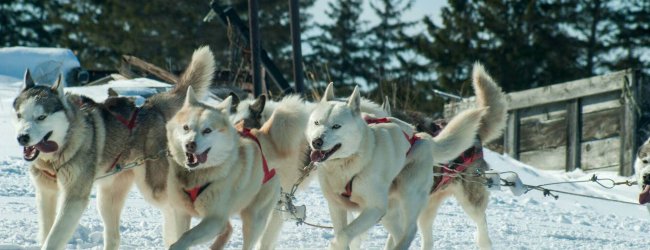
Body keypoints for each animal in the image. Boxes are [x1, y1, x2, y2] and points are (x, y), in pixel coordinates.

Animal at [12, 46, 215, 248]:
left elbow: (54, 237)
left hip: (153, 187)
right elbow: (46, 232)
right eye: (20, 115)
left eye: (41, 117)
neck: (58, 151)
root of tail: (151, 106)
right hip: (107, 197)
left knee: (173, 208)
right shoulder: (46, 192)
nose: (22, 138)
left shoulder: (74, 197)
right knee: (115, 235)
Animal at [163, 86, 284, 250]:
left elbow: (186, 237)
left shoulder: (215, 219)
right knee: (228, 229)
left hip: (254, 219)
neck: (198, 174)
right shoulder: (181, 213)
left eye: (207, 130)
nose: (190, 144)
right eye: (186, 127)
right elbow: (181, 234)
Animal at [302, 83, 480, 249]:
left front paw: (336, 243)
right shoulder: (336, 206)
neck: (348, 164)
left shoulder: (375, 208)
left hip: (409, 195)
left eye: (336, 126)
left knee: (410, 230)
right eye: (317, 122)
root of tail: (421, 137)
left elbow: (344, 235)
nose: (316, 141)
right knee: (399, 232)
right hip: (389, 212)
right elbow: (342, 232)